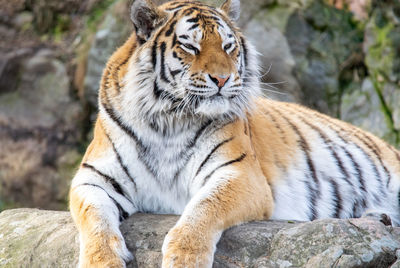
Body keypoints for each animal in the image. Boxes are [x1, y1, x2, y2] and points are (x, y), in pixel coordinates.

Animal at [70, 0, 400, 266]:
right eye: (190, 46)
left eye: (228, 46)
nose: (222, 78)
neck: (168, 120)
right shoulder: (93, 178)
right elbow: (94, 218)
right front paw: (102, 261)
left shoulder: (239, 173)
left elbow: (203, 209)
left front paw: (185, 259)